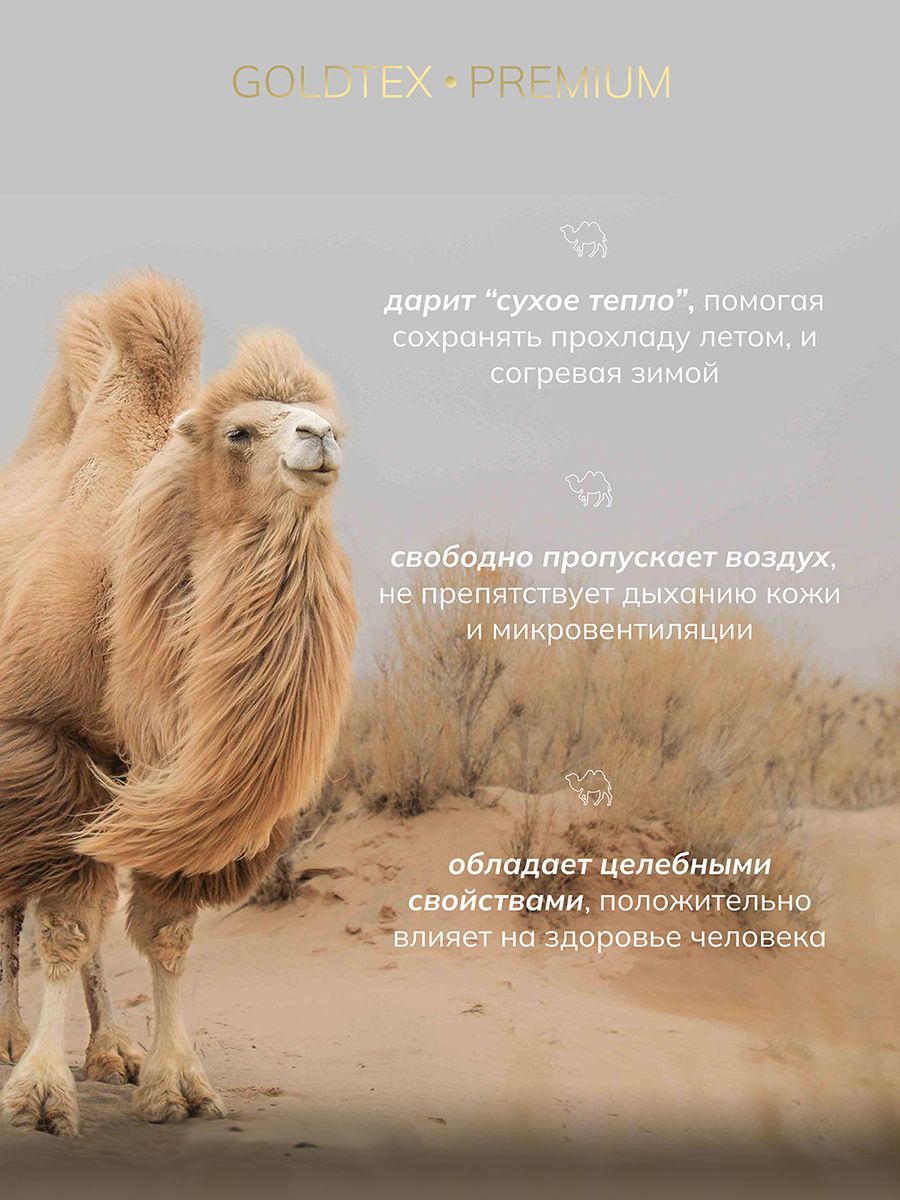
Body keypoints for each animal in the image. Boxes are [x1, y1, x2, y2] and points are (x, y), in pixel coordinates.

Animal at [0, 272, 357, 1135]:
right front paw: (40, 1093)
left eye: (326, 418)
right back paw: (14, 1041)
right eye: (239, 432)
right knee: (12, 912)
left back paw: (109, 1050)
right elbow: (61, 927)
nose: (321, 438)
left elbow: (163, 934)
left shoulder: (161, 778)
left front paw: (175, 1083)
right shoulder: (41, 739)